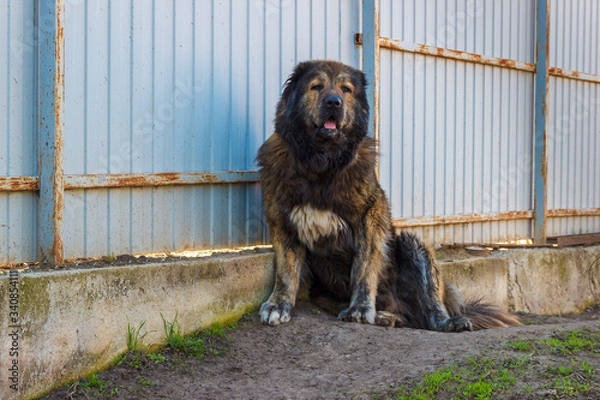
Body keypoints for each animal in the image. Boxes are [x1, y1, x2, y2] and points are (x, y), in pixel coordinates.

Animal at [258, 60, 520, 332]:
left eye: (346, 89)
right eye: (316, 87)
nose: (334, 102)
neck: (321, 163)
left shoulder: (371, 215)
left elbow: (363, 269)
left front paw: (360, 308)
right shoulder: (282, 220)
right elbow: (286, 272)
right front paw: (278, 304)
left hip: (413, 245)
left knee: (430, 308)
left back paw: (447, 321)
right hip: (325, 294)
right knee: (407, 316)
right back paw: (387, 317)